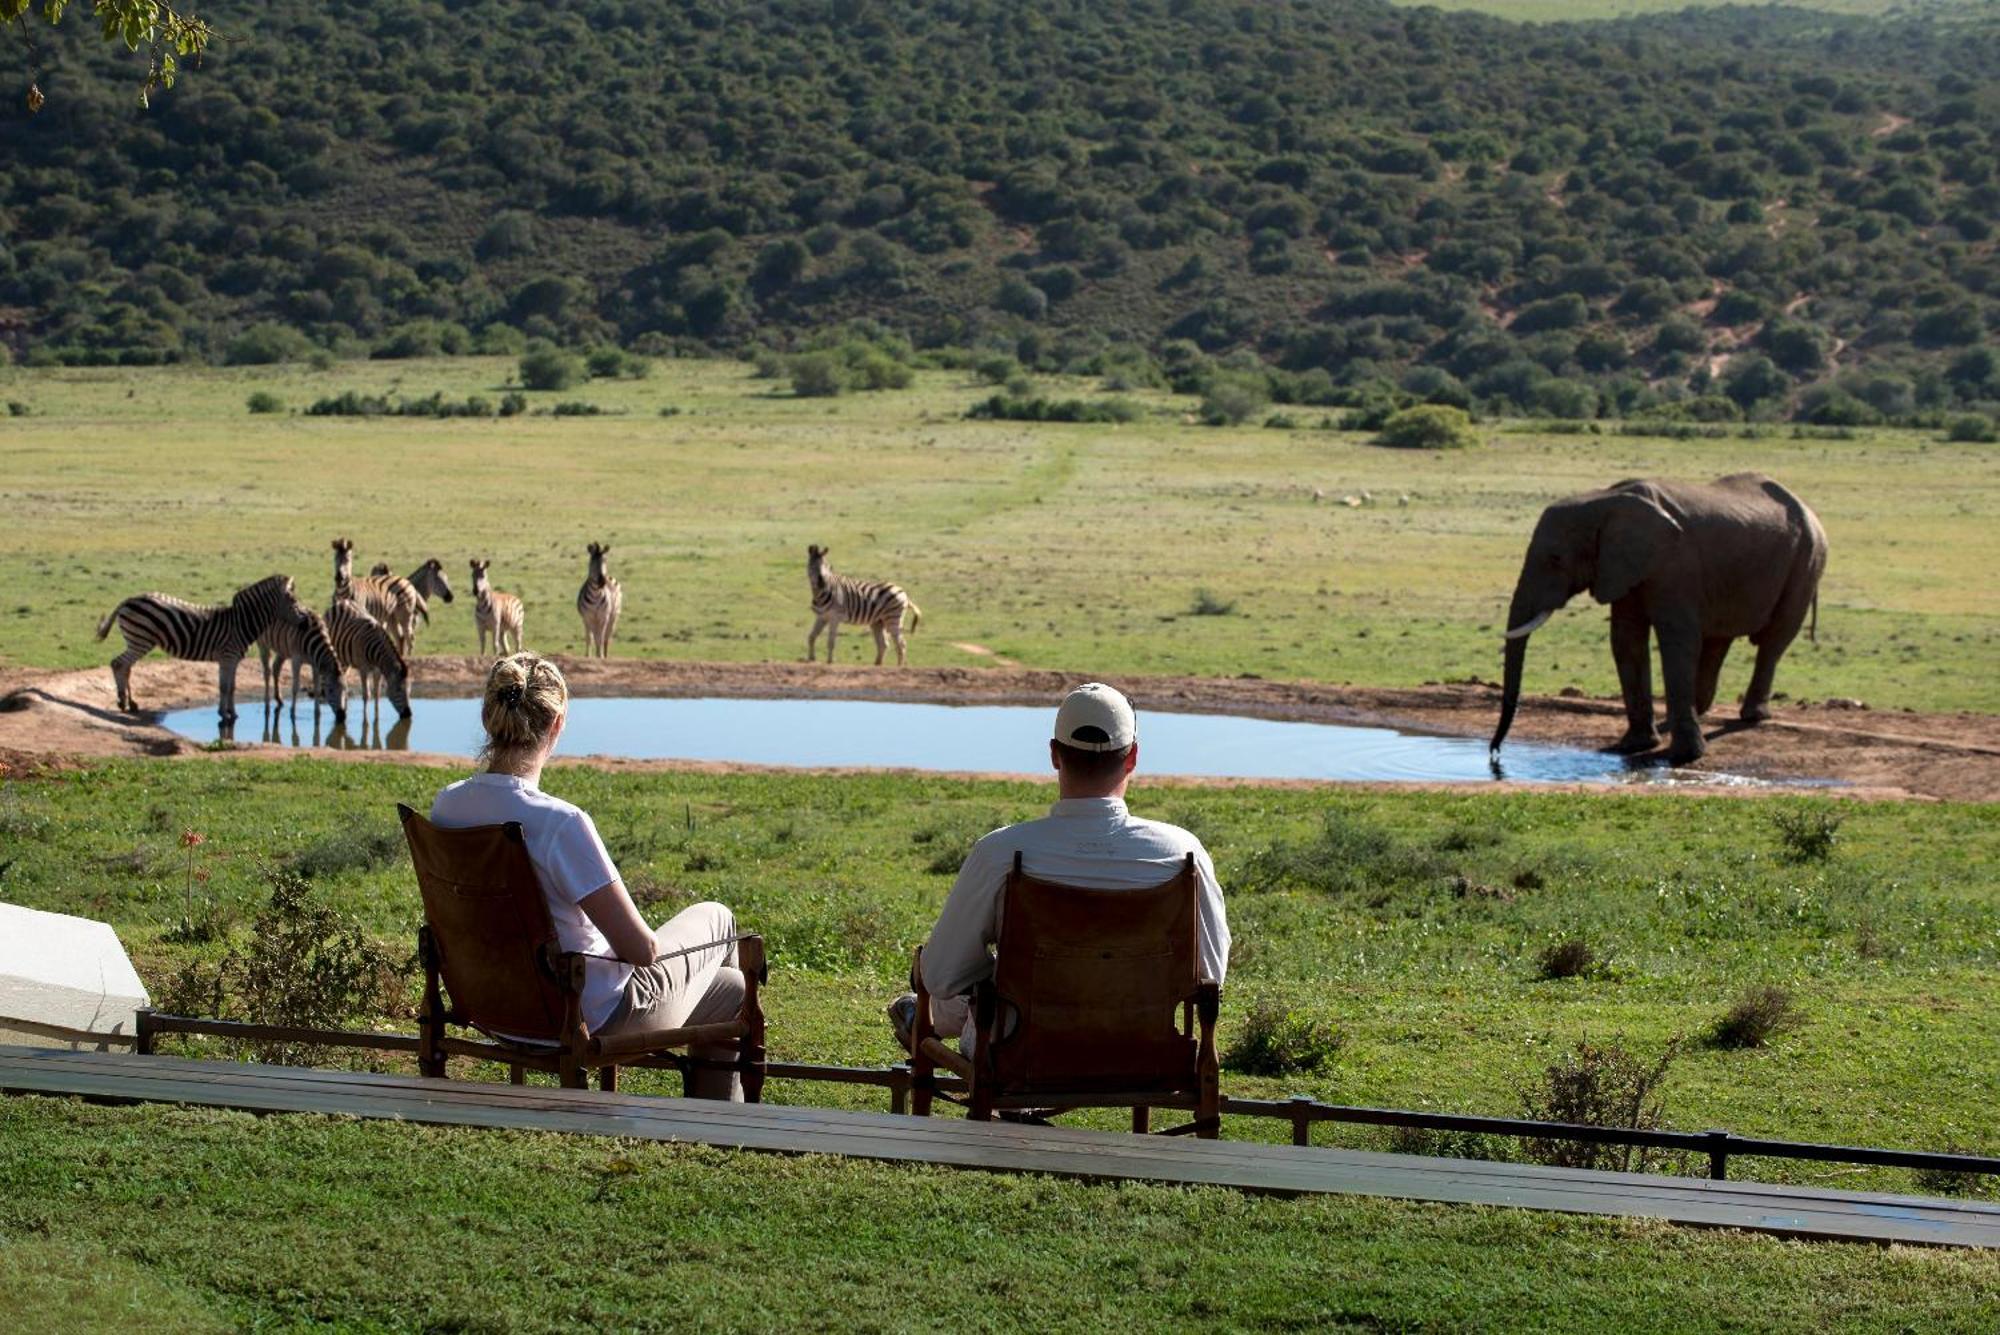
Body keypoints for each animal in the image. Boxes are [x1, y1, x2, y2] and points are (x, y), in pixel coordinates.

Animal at [98, 571, 300, 719]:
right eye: (293, 600)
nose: (303, 619)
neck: (241, 623)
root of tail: (128, 599)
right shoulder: (228, 657)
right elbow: (224, 687)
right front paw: (224, 714)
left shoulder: (232, 660)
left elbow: (231, 686)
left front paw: (232, 713)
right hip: (140, 639)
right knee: (119, 663)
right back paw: (122, 701)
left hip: (137, 640)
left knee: (126, 666)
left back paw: (131, 703)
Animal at [326, 595, 412, 723]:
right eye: (398, 690)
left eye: (409, 691)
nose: (408, 714)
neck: (377, 655)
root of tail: (342, 602)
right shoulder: (363, 669)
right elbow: (366, 695)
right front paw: (365, 721)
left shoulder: (378, 670)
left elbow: (376, 693)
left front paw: (377, 718)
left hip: (346, 658)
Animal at [1488, 471, 1832, 767]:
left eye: (1556, 559)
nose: (1494, 753)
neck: (1604, 500)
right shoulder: (1623, 567)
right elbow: (1626, 640)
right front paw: (1633, 746)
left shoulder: (1674, 564)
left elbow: (1676, 639)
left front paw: (1683, 757)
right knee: (1719, 639)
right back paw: (1697, 710)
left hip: (1807, 560)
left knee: (1774, 639)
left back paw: (1752, 716)